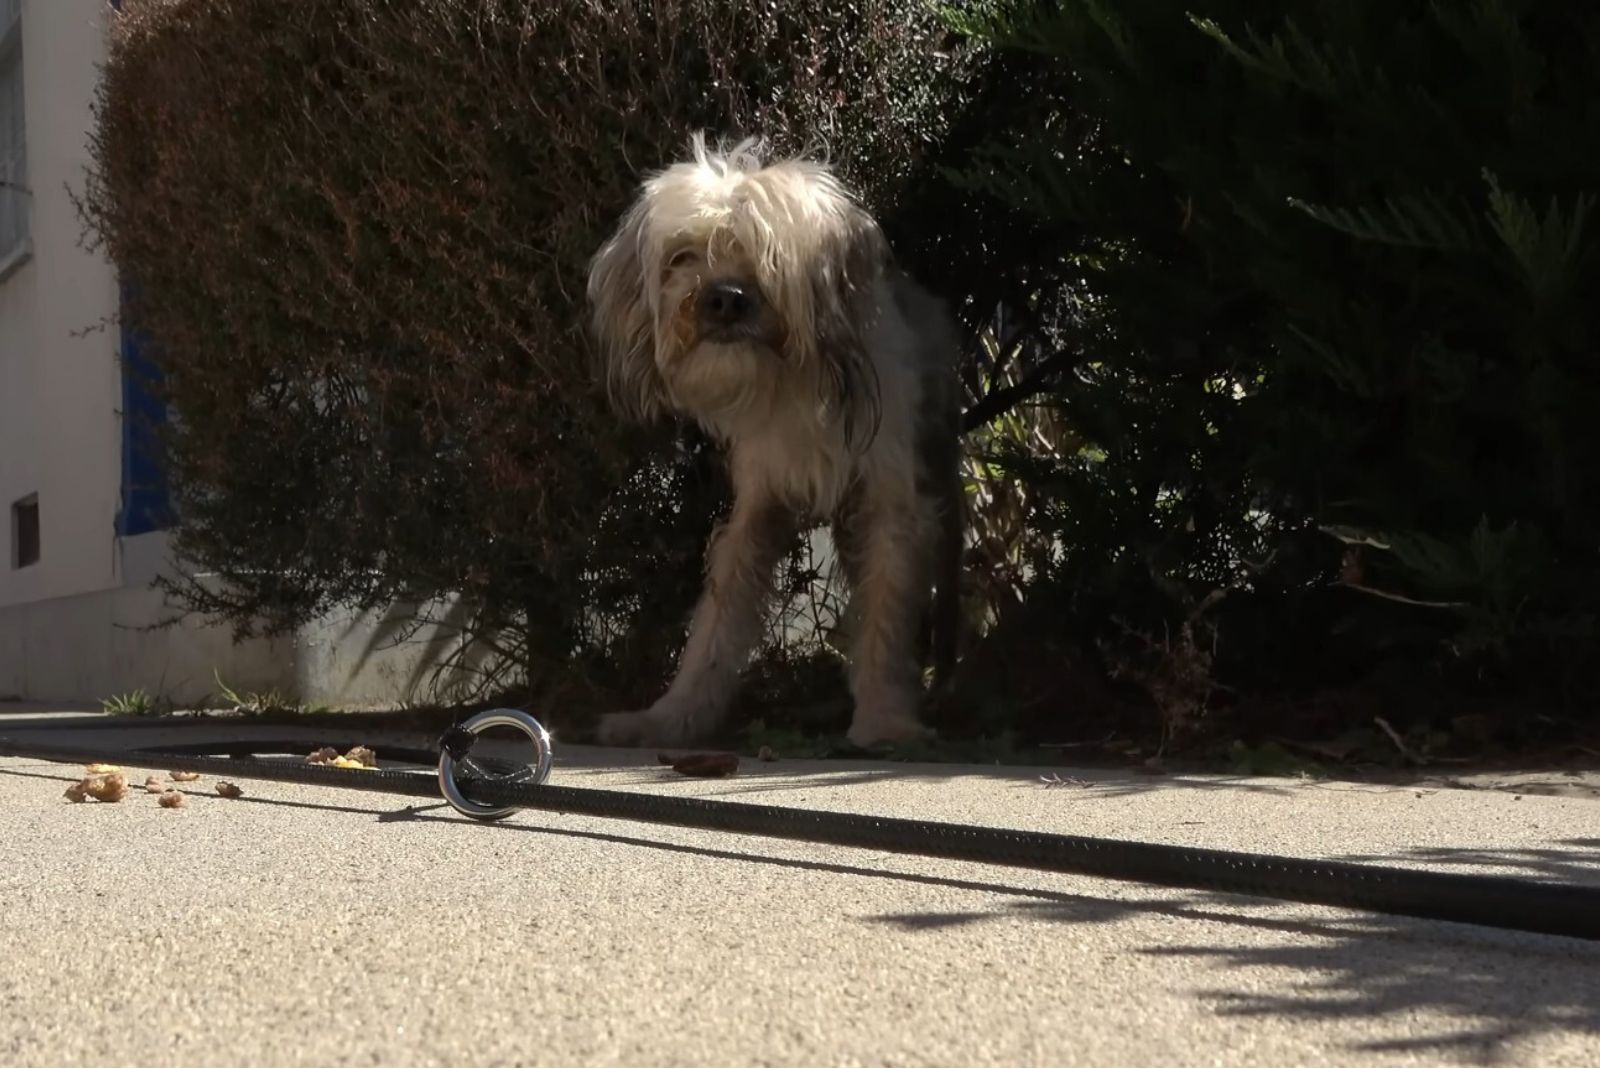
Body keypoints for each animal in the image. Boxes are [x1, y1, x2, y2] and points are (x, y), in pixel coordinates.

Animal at [588, 133, 960, 748]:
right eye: (682, 256)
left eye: (771, 257)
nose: (724, 297)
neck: (796, 388)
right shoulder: (757, 511)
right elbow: (718, 619)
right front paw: (672, 717)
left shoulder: (891, 508)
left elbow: (885, 618)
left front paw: (883, 719)